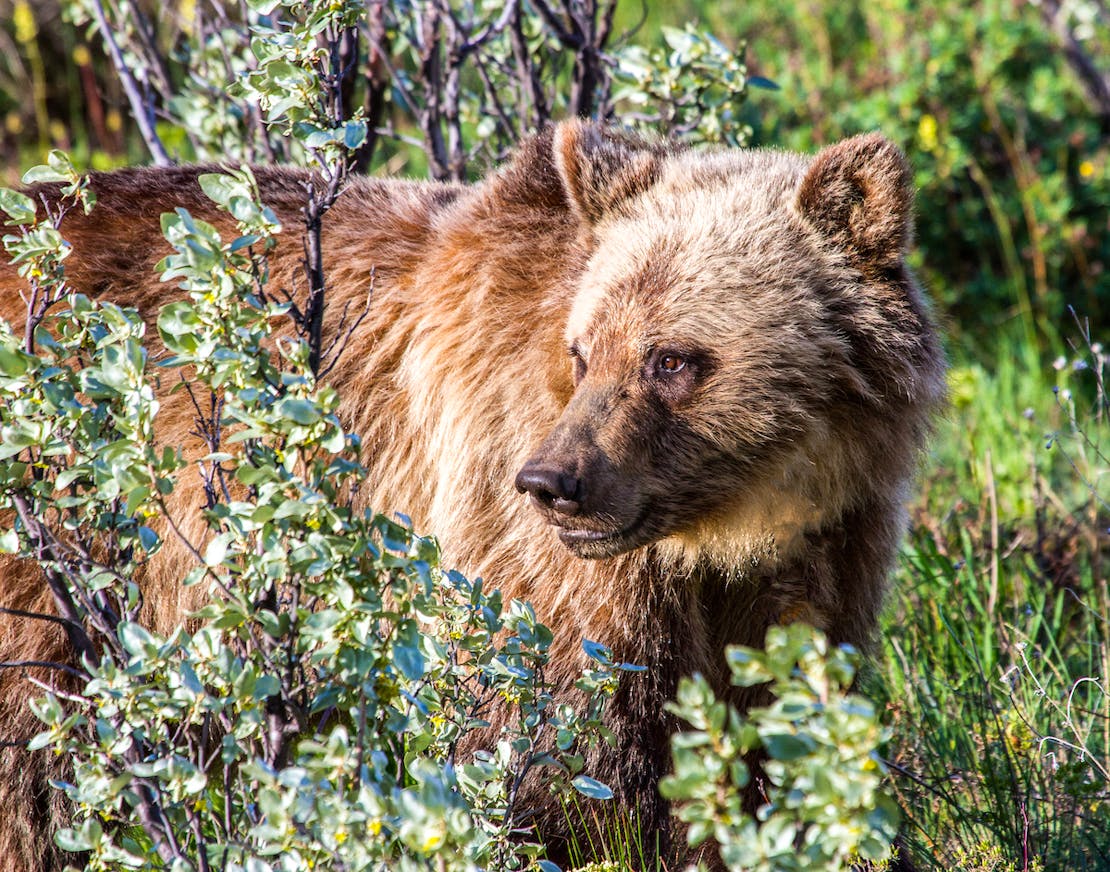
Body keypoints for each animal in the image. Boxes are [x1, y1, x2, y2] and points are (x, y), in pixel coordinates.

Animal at [2, 118, 945, 865]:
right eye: (583, 352)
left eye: (672, 359)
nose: (554, 483)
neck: (728, 526)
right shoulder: (535, 564)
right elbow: (579, 756)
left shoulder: (825, 552)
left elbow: (776, 717)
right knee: (34, 762)